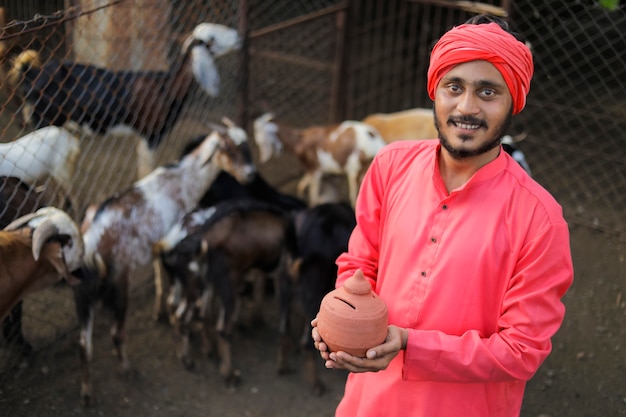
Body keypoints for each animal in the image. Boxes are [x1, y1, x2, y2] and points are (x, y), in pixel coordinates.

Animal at [11, 22, 243, 178]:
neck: (166, 88)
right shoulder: (151, 135)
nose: (238, 37)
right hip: (44, 119)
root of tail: (31, 72)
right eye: (211, 39)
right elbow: (147, 170)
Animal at [73, 121, 256, 404]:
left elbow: (160, 273)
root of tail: (90, 239)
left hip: (83, 291)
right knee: (116, 332)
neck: (183, 180)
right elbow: (171, 280)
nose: (249, 175)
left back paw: (86, 393)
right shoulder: (173, 237)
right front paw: (176, 318)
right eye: (227, 147)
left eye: (246, 144)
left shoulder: (159, 245)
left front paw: (164, 312)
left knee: (84, 344)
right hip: (119, 279)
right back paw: (127, 370)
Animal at [155, 199, 294, 386]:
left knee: (179, 313)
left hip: (192, 289)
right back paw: (228, 373)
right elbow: (284, 321)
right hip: (214, 287)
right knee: (217, 326)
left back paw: (188, 357)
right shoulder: (277, 276)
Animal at [254, 113, 386, 207]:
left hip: (354, 170)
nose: (262, 159)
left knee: (354, 196)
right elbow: (302, 187)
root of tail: (376, 142)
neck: (301, 141)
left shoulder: (316, 170)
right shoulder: (321, 173)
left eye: (262, 138)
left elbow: (314, 197)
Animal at [276, 202, 354, 394]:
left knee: (282, 330)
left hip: (284, 289)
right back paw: (316, 384)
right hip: (315, 291)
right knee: (306, 342)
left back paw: (283, 366)